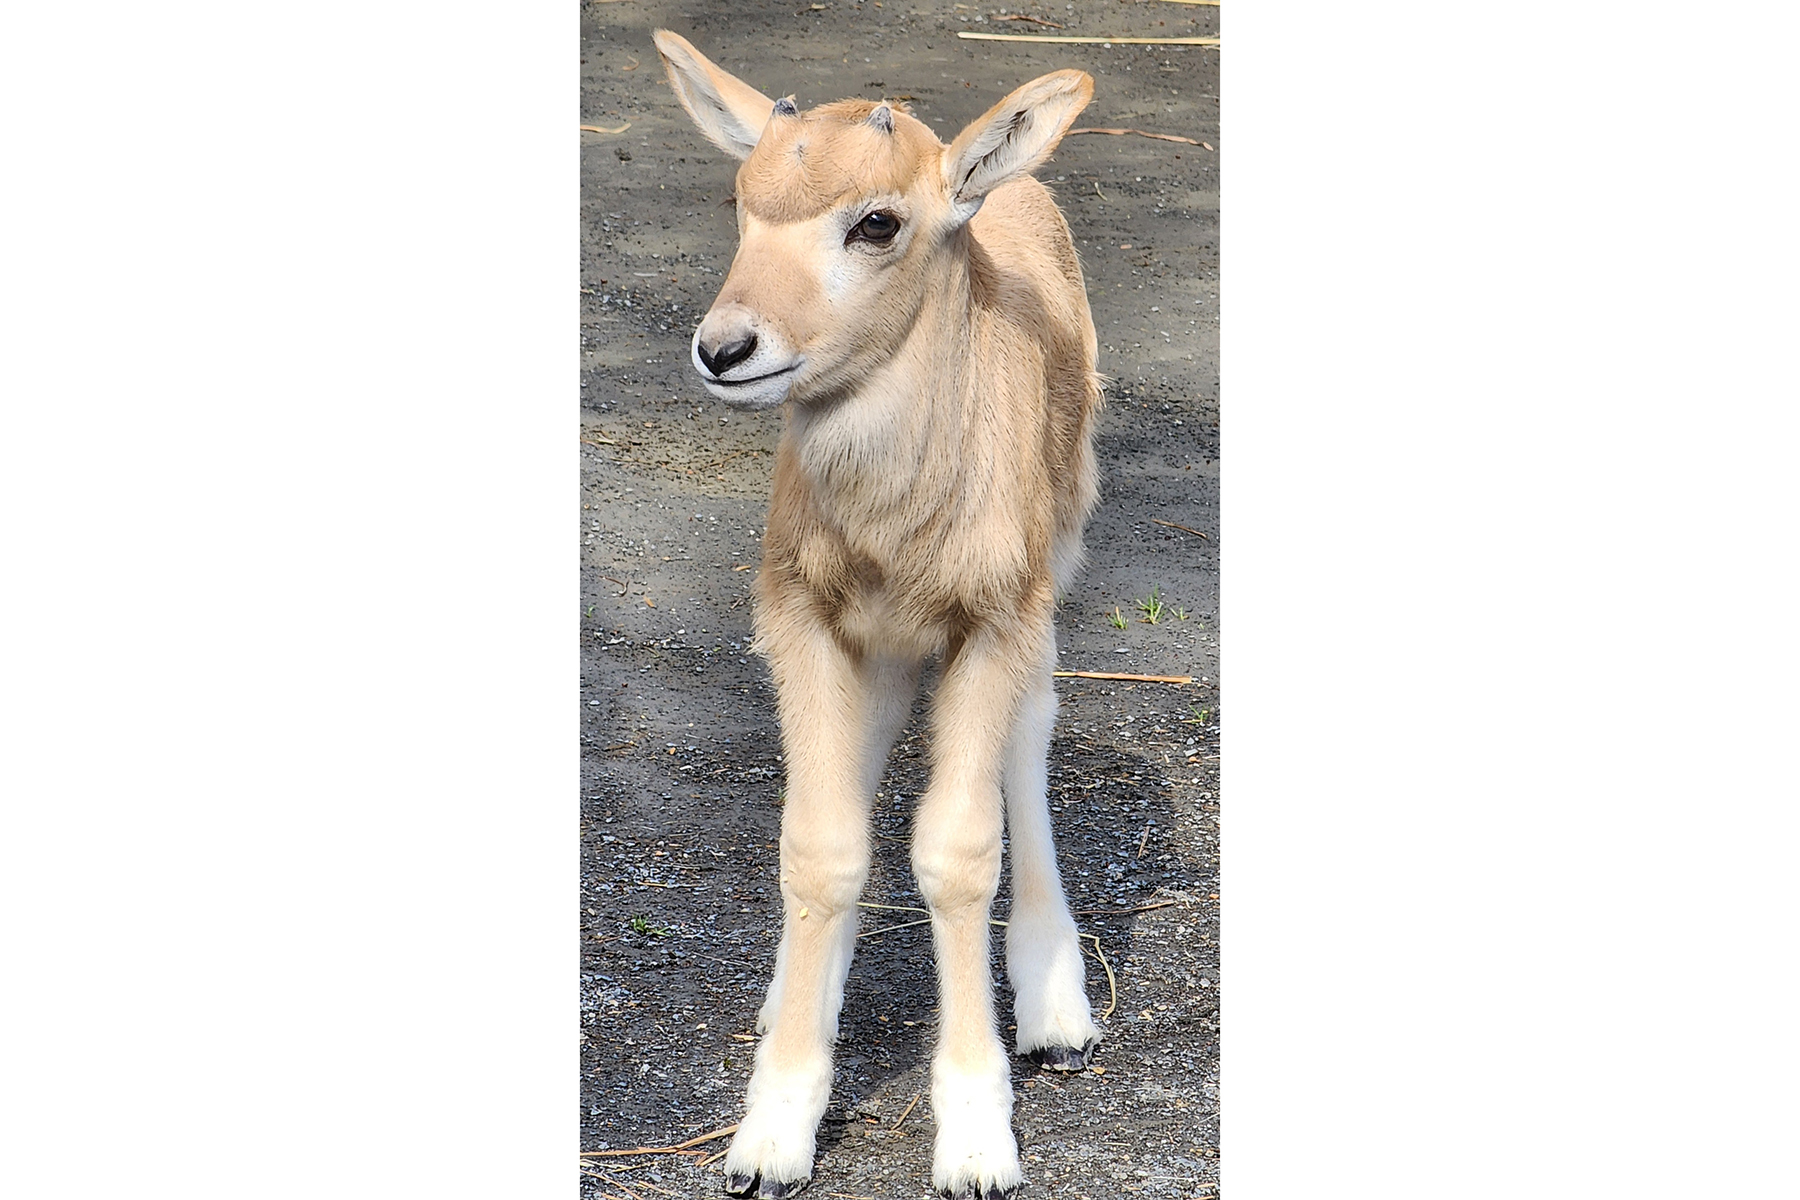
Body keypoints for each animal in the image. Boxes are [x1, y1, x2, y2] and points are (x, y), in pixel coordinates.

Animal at [658, 30, 1108, 1200]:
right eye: (741, 201)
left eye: (875, 222)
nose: (727, 348)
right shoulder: (797, 609)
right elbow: (822, 842)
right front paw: (772, 1127)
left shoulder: (995, 614)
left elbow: (956, 849)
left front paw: (979, 1140)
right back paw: (792, 997)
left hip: (1055, 556)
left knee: (1030, 736)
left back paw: (1056, 1004)